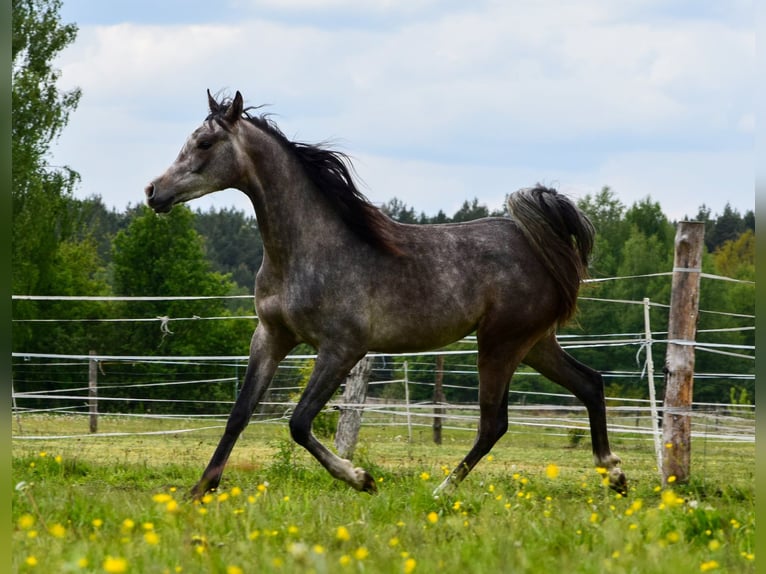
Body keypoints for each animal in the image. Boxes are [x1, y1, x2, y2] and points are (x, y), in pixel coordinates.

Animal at [145, 90, 627, 499]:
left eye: (205, 143)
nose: (153, 192)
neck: (307, 251)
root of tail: (536, 244)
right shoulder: (271, 337)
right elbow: (239, 414)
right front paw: (200, 490)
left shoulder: (342, 348)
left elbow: (299, 422)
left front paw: (360, 478)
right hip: (534, 343)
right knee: (590, 383)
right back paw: (615, 475)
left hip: (500, 344)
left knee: (494, 424)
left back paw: (442, 490)